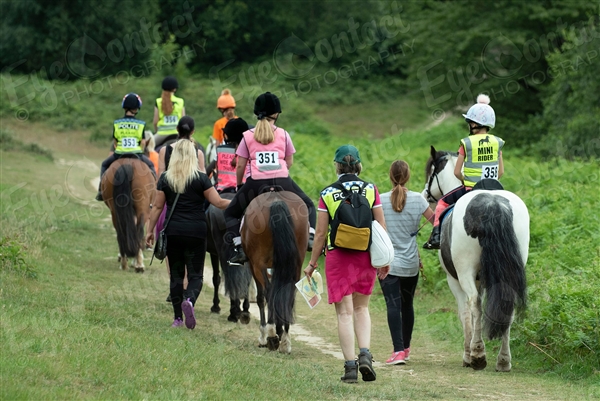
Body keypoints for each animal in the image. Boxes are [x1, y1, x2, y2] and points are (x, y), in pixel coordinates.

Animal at [241, 189, 310, 352]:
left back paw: (271, 335)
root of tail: (276, 200)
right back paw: (285, 340)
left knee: (268, 292)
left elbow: (261, 297)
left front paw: (264, 335)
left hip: (258, 264)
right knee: (289, 293)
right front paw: (280, 330)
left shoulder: (254, 265)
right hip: (296, 264)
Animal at [422, 145, 528, 370]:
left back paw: (478, 354)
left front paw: (468, 353)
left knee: (475, 305)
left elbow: (465, 313)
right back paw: (503, 360)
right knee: (508, 307)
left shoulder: (454, 280)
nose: (425, 193)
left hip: (464, 272)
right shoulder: (482, 279)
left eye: (431, 173)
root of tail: (493, 204)